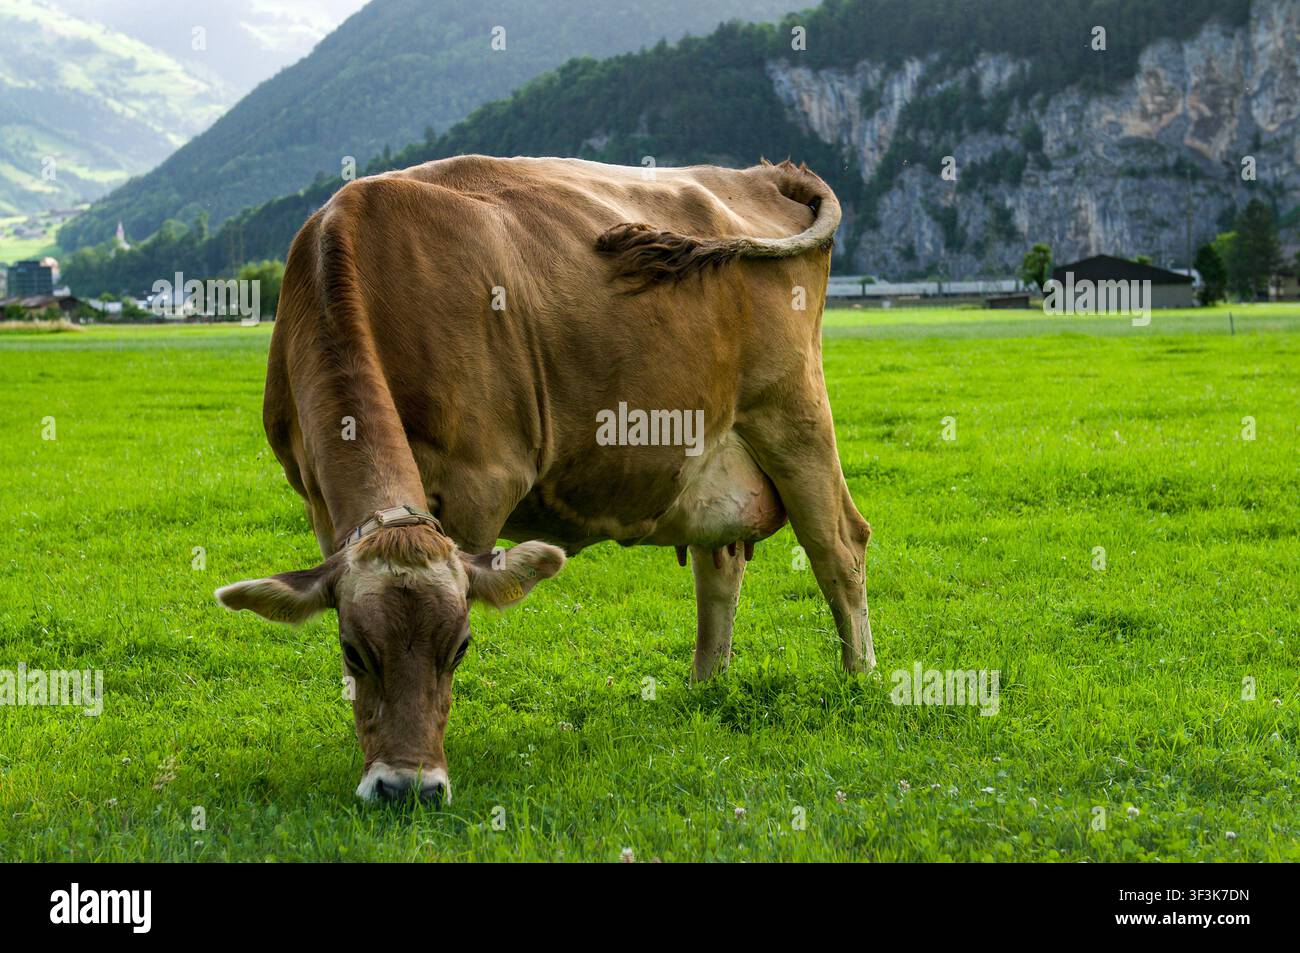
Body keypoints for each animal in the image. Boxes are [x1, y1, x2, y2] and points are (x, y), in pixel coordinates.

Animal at [216, 155, 875, 804]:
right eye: (353, 650)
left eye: (460, 647)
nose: (408, 789)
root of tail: (763, 173)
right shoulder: (318, 500)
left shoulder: (480, 482)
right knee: (721, 565)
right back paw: (705, 688)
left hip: (793, 414)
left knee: (840, 547)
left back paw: (861, 680)